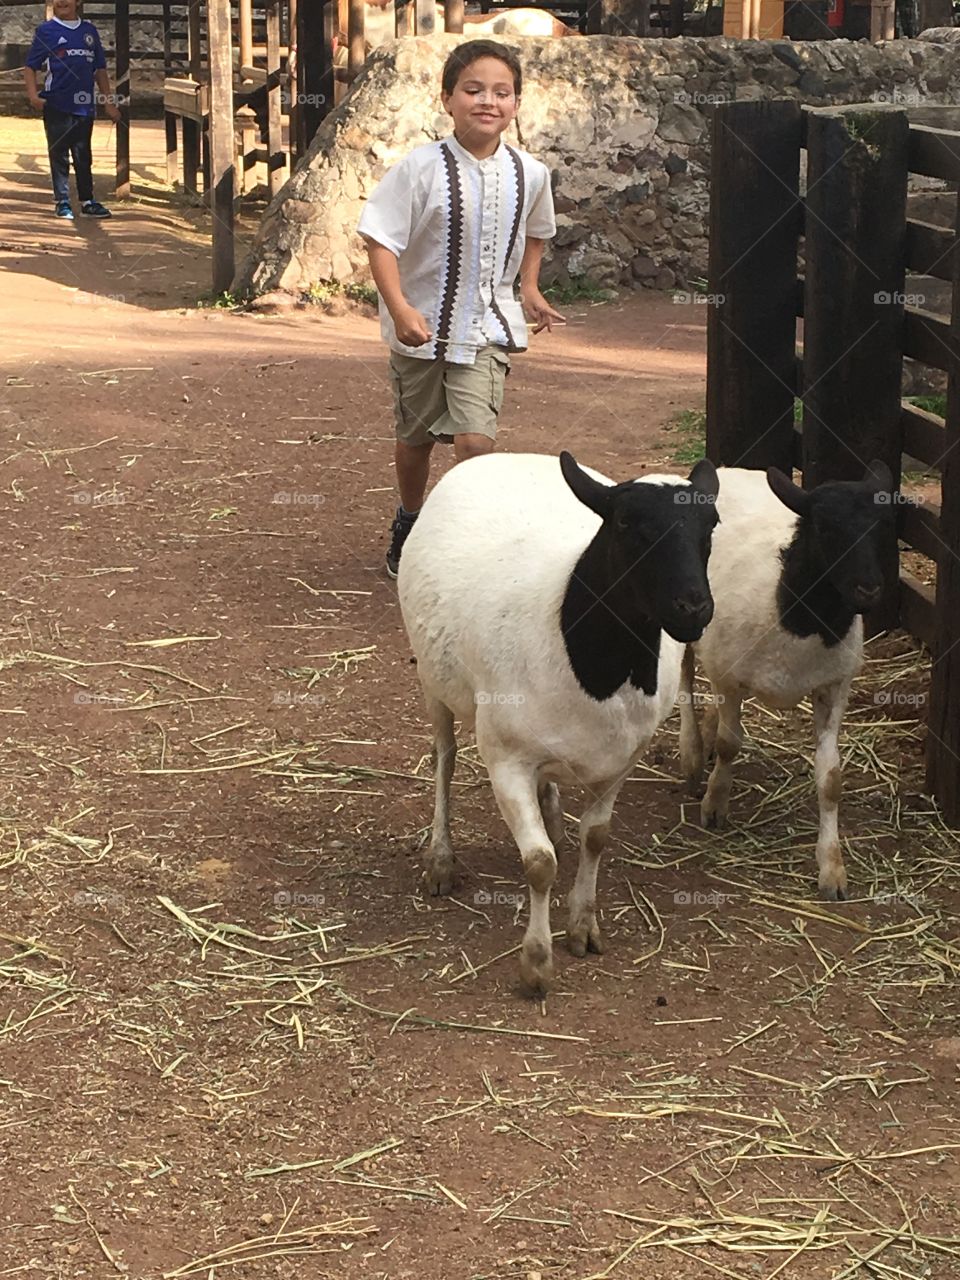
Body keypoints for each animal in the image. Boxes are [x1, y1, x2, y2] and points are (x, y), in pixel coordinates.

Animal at [398, 451, 719, 993]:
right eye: (627, 522)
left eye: (712, 523)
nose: (694, 608)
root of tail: (505, 455)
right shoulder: (506, 762)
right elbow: (539, 865)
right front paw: (537, 962)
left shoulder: (621, 762)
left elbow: (597, 837)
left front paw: (583, 927)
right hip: (433, 683)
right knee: (445, 759)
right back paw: (441, 859)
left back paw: (551, 820)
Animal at [678, 461, 895, 901]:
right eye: (824, 527)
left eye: (881, 526)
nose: (869, 588)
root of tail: (726, 467)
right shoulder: (730, 678)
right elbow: (729, 745)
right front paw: (714, 804)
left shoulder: (834, 687)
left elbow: (830, 779)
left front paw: (832, 869)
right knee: (686, 674)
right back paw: (692, 752)